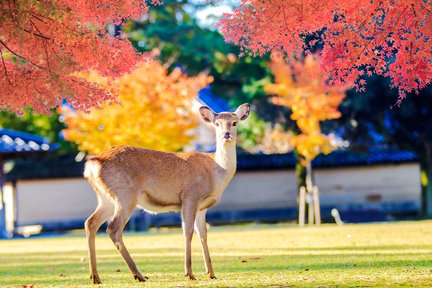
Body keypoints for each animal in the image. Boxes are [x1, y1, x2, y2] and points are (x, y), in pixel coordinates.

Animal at [83, 102, 250, 282]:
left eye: (235, 123)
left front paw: (211, 273)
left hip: (106, 198)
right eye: (217, 124)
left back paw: (95, 276)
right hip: (125, 194)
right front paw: (189, 273)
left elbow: (203, 234)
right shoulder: (190, 196)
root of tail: (93, 164)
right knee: (113, 228)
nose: (226, 135)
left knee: (91, 222)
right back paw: (138, 274)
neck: (216, 173)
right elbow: (188, 231)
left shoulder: (202, 207)